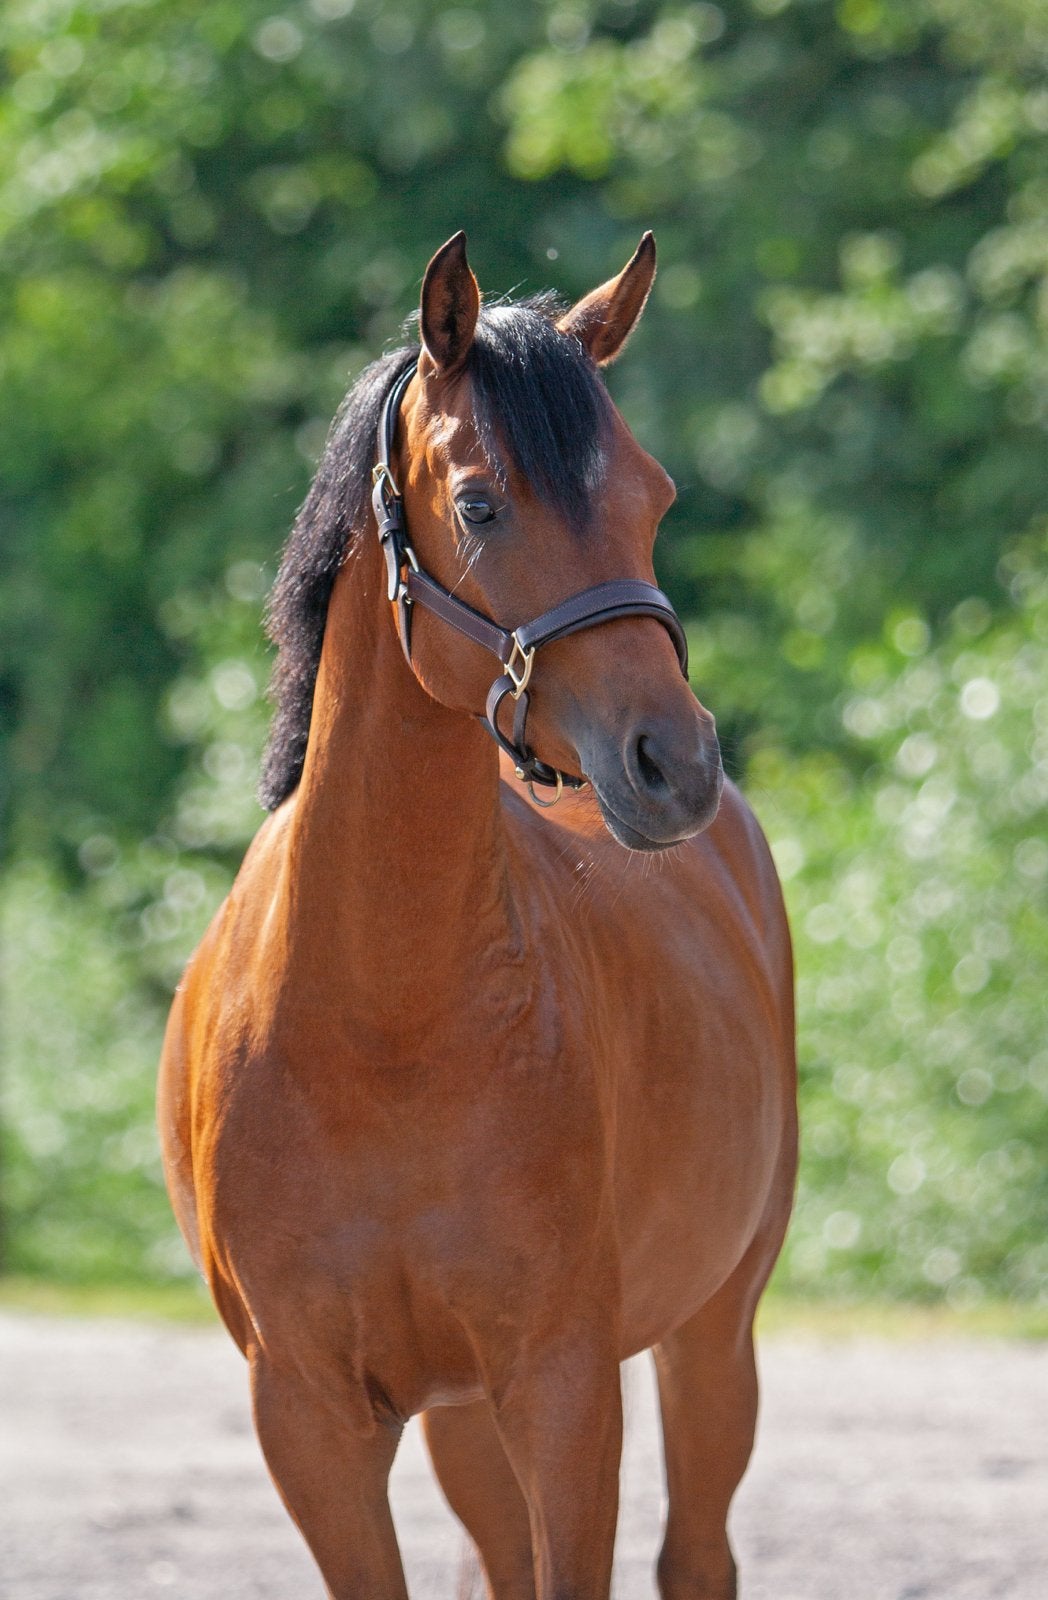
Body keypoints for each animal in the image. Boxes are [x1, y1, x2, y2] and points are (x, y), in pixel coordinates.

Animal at [158, 231, 797, 1600]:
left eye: (654, 497)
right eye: (481, 503)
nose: (672, 764)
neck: (381, 1022)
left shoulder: (563, 1386)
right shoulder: (311, 1416)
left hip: (712, 1331)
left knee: (697, 1549)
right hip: (459, 1414)